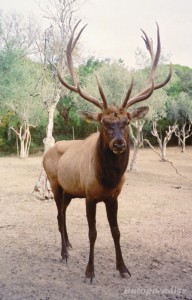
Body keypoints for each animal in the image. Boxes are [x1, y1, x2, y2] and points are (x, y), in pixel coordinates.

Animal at [43, 20, 171, 282]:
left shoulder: (113, 197)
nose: (119, 143)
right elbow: (92, 232)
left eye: (127, 121)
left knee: (63, 214)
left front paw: (123, 268)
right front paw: (89, 272)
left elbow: (116, 231)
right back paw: (63, 253)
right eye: (104, 122)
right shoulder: (90, 196)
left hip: (70, 191)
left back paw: (68, 244)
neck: (107, 179)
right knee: (59, 214)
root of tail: (45, 154)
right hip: (55, 183)